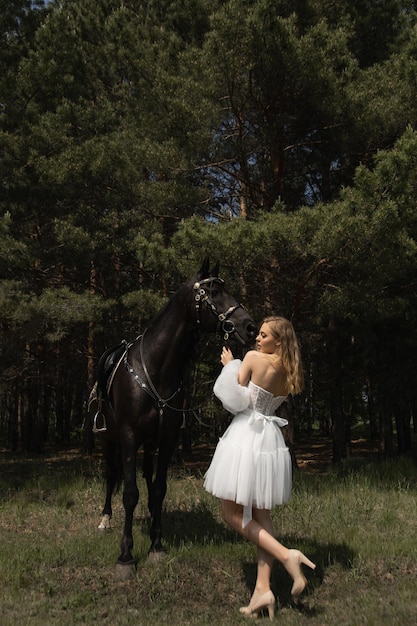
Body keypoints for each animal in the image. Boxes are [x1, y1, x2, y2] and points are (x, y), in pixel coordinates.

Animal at [89, 258, 255, 576]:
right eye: (214, 292)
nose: (250, 326)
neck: (154, 370)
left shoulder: (166, 439)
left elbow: (159, 488)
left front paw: (156, 544)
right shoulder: (128, 438)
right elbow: (129, 492)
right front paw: (126, 555)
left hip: (148, 443)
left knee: (147, 477)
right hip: (107, 439)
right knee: (111, 475)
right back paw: (104, 519)